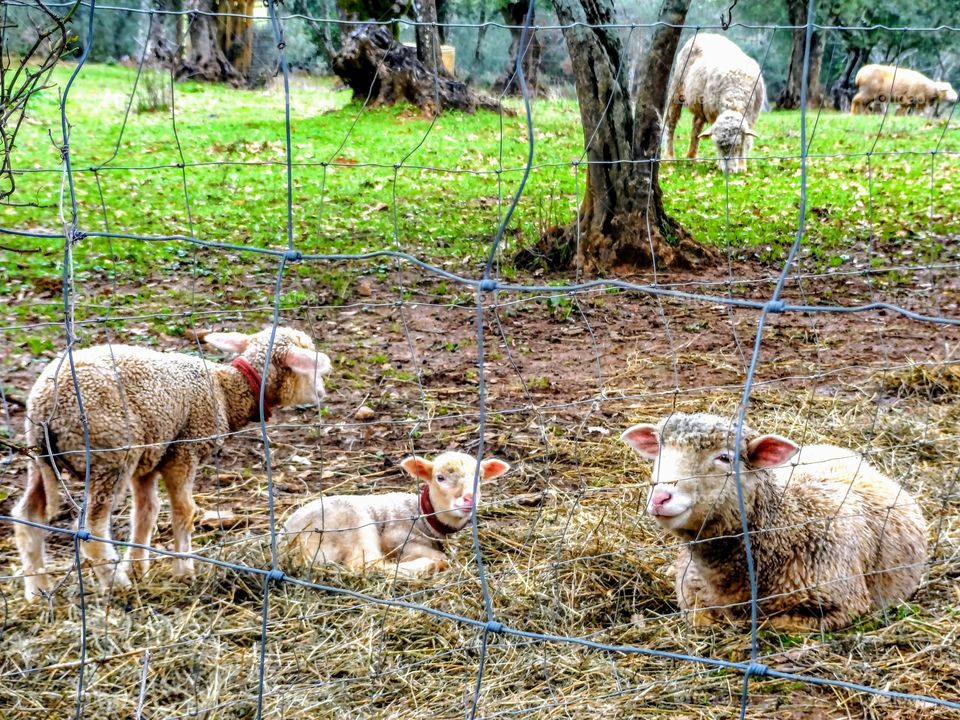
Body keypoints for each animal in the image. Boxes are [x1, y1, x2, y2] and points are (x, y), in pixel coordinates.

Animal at [10, 330, 334, 600]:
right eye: (310, 367)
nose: (322, 393)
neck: (227, 391)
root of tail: (45, 406)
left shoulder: (150, 458)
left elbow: (146, 512)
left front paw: (138, 567)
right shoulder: (184, 451)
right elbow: (184, 512)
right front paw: (184, 570)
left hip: (40, 460)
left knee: (28, 516)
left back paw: (37, 589)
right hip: (109, 454)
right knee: (91, 527)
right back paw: (116, 583)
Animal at [284, 452, 512, 576]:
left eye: (480, 478)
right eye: (440, 478)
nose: (468, 499)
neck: (424, 517)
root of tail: (287, 544)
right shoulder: (394, 538)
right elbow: (440, 554)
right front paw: (438, 559)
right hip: (354, 524)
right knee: (366, 566)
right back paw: (431, 565)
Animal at [620, 414, 928, 632]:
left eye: (724, 458)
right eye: (660, 451)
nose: (661, 497)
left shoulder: (843, 605)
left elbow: (768, 623)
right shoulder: (690, 595)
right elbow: (700, 618)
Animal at [664, 34, 768, 174]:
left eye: (737, 145)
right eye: (717, 145)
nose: (729, 171)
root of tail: (703, 34)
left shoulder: (751, 118)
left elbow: (747, 141)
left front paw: (742, 166)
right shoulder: (713, 114)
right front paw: (720, 164)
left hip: (700, 103)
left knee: (696, 126)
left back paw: (692, 157)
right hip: (677, 88)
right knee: (671, 122)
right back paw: (669, 157)